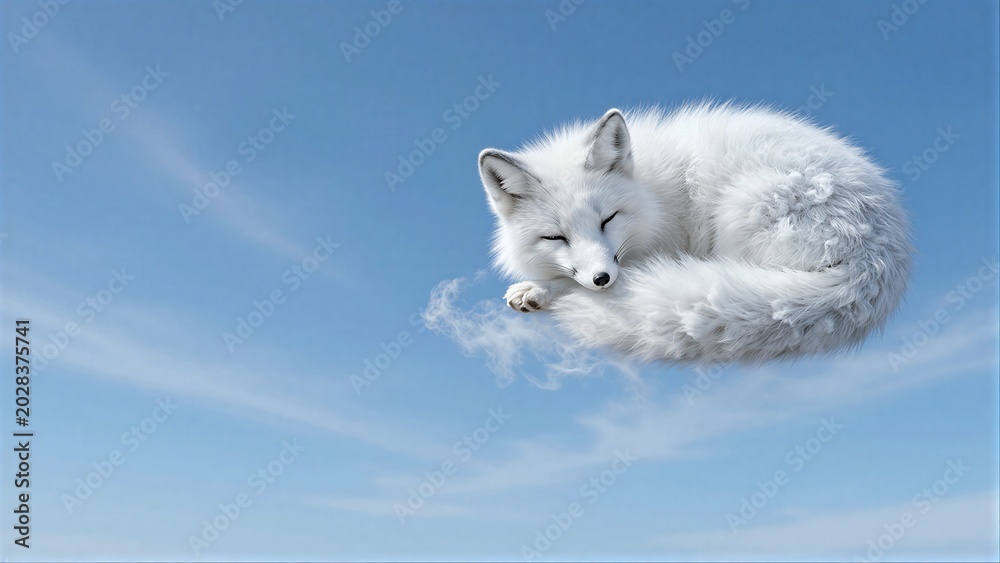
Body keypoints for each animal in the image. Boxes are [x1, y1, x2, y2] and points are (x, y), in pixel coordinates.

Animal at [477, 104, 912, 364]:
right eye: (556, 238)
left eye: (608, 219)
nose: (602, 279)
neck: (653, 194)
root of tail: (879, 256)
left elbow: (581, 282)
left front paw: (540, 289)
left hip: (739, 208)